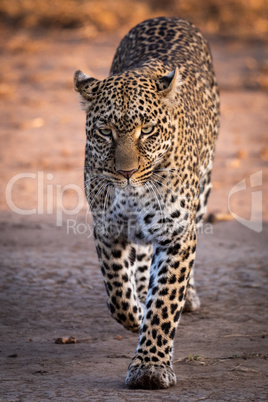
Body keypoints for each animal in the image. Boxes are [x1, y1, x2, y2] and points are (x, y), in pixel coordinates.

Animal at [74, 16, 220, 390]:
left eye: (148, 130)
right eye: (105, 131)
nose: (125, 173)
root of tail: (168, 17)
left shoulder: (177, 233)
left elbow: (165, 302)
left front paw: (150, 367)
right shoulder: (107, 228)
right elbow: (118, 296)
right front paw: (137, 312)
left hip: (204, 187)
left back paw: (188, 295)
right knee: (139, 261)